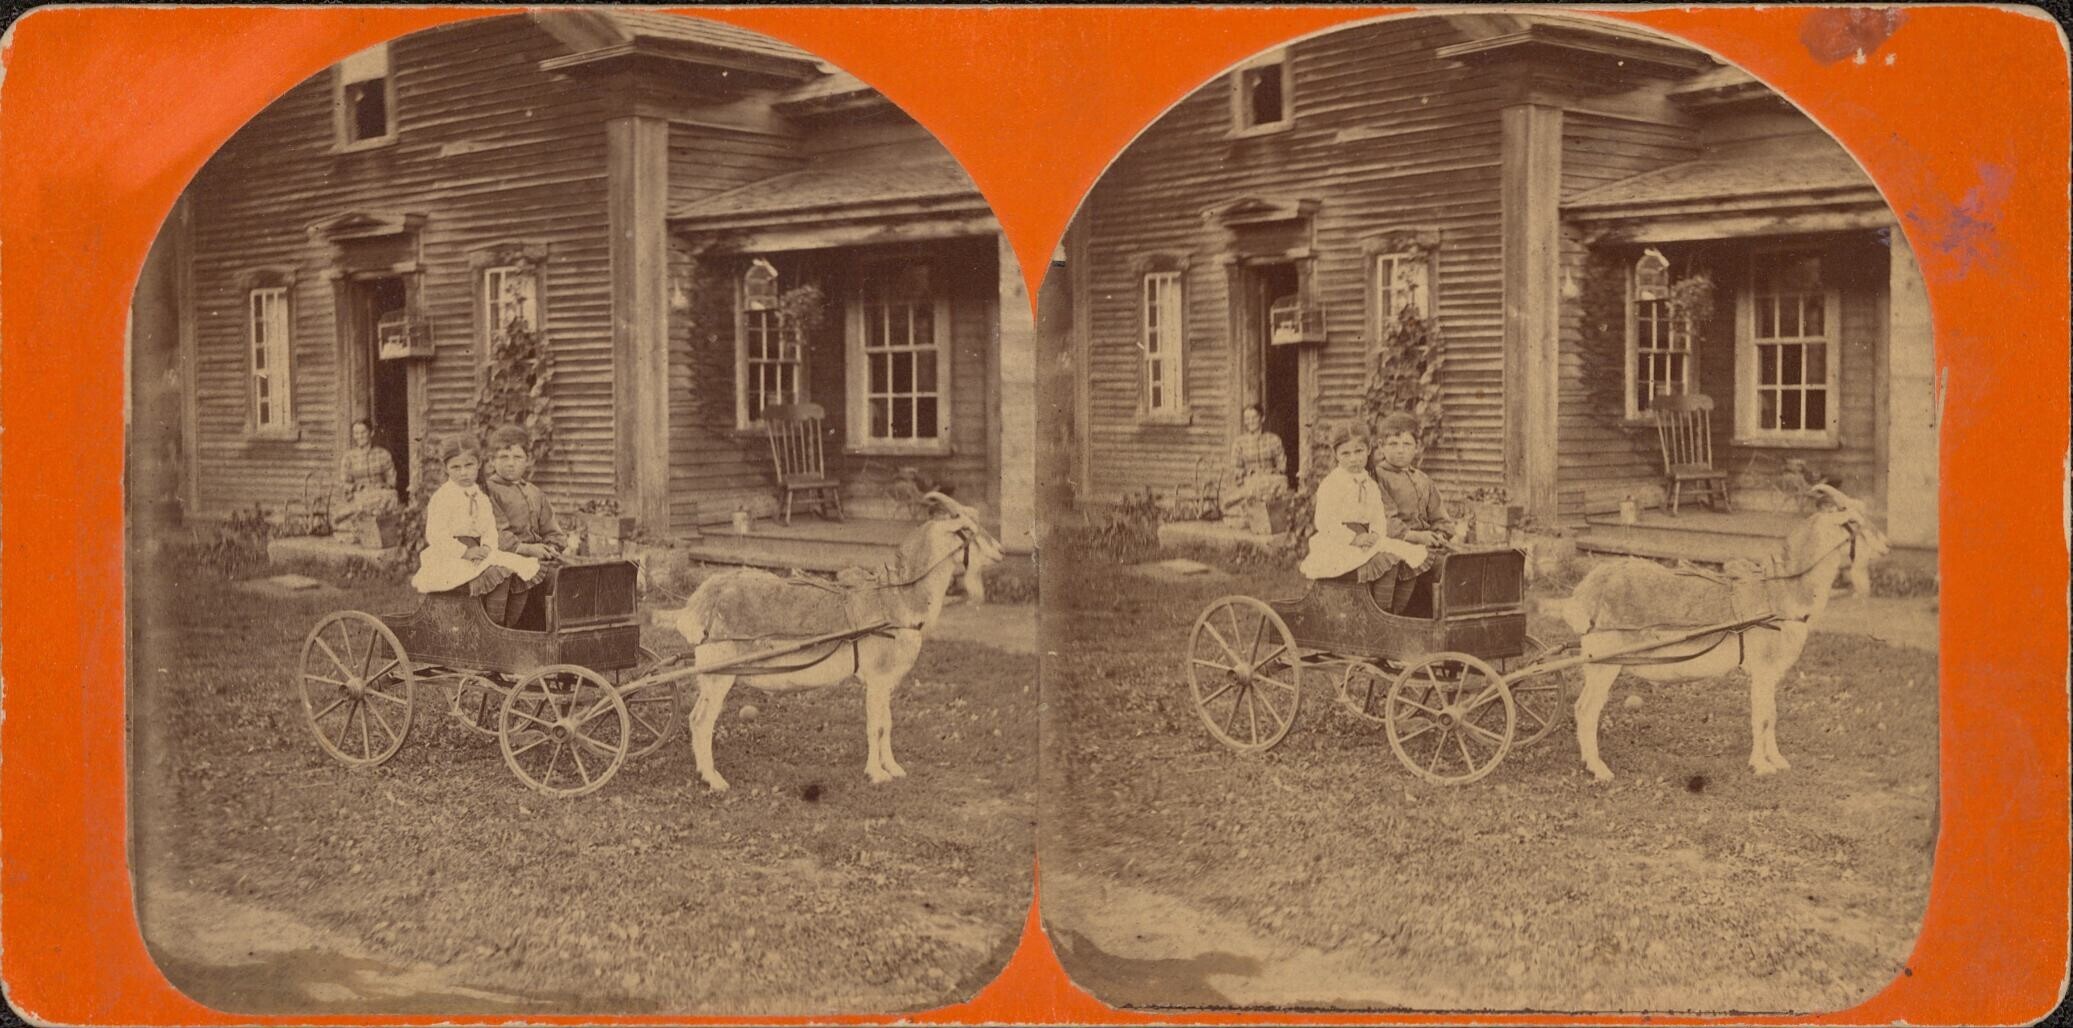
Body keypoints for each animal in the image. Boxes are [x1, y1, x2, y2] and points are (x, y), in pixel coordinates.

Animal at [663, 493, 1003, 791]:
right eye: (965, 530)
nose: (1001, 552)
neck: (897, 597)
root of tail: (705, 596)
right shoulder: (876, 679)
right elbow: (876, 725)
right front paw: (877, 774)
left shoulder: (886, 682)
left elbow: (888, 722)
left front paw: (894, 768)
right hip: (718, 672)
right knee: (700, 720)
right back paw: (714, 780)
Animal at [1558, 484, 1890, 783]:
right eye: (1852, 522)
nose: (1886, 547)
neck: (1779, 592)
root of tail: (1590, 587)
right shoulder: (1763, 669)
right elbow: (1762, 717)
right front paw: (1761, 766)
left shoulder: (1771, 673)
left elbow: (1772, 715)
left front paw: (1778, 760)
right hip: (1603, 662)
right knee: (1585, 709)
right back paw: (1599, 770)